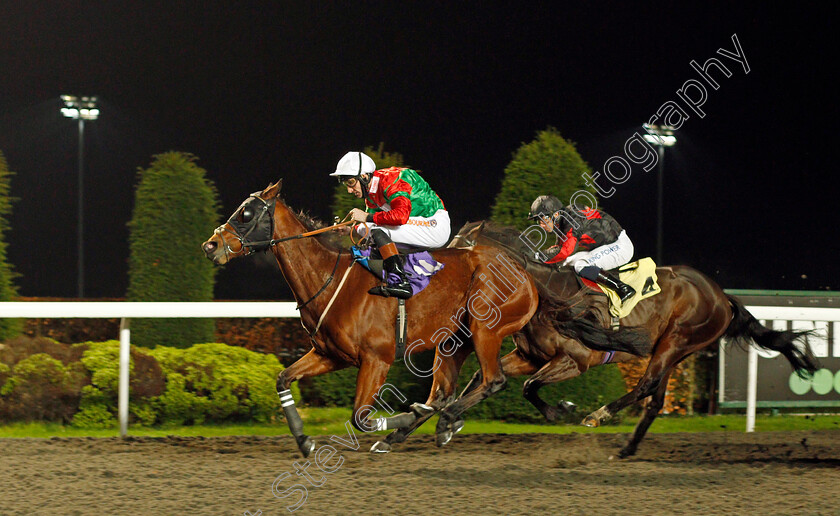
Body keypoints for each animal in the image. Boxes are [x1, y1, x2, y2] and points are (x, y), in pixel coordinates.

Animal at [200, 181, 540, 456]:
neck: (330, 279)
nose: (210, 245)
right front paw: (304, 441)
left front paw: (410, 414)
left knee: (491, 381)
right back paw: (414, 431)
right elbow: (283, 378)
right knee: (443, 393)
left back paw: (442, 421)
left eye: (245, 213)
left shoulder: (377, 358)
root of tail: (521, 268)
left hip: (485, 330)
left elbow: (359, 418)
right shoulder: (329, 355)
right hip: (453, 342)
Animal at [446, 220, 820, 458]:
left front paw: (564, 410)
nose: (439, 270)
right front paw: (449, 420)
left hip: (676, 340)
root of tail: (722, 296)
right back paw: (627, 448)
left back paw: (598, 415)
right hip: (675, 352)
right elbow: (494, 378)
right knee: (655, 399)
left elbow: (528, 386)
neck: (546, 292)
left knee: (645, 386)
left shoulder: (575, 360)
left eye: (461, 247)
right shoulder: (530, 357)